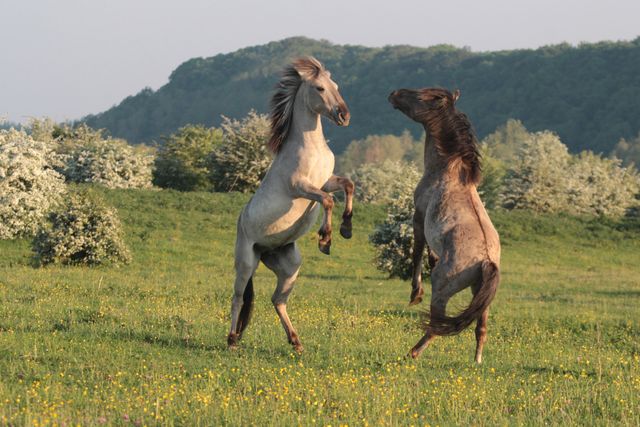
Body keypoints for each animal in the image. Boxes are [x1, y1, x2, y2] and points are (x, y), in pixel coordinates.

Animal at [227, 57, 354, 353]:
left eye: (336, 85)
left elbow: (348, 186)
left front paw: (346, 229)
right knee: (238, 297)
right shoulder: (301, 188)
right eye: (320, 88)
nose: (344, 115)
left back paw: (296, 342)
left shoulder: (325, 181)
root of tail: (263, 250)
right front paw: (325, 240)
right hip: (246, 262)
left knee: (278, 299)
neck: (310, 146)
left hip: (289, 265)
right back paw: (232, 341)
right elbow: (328, 201)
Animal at [388, 88, 501, 363]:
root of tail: (486, 261)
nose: (394, 93)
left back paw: (413, 352)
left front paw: (415, 293)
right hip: (480, 296)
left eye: (421, 96)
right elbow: (429, 253)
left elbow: (417, 252)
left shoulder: (418, 217)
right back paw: (477, 361)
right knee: (481, 329)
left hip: (442, 289)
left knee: (436, 326)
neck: (448, 169)